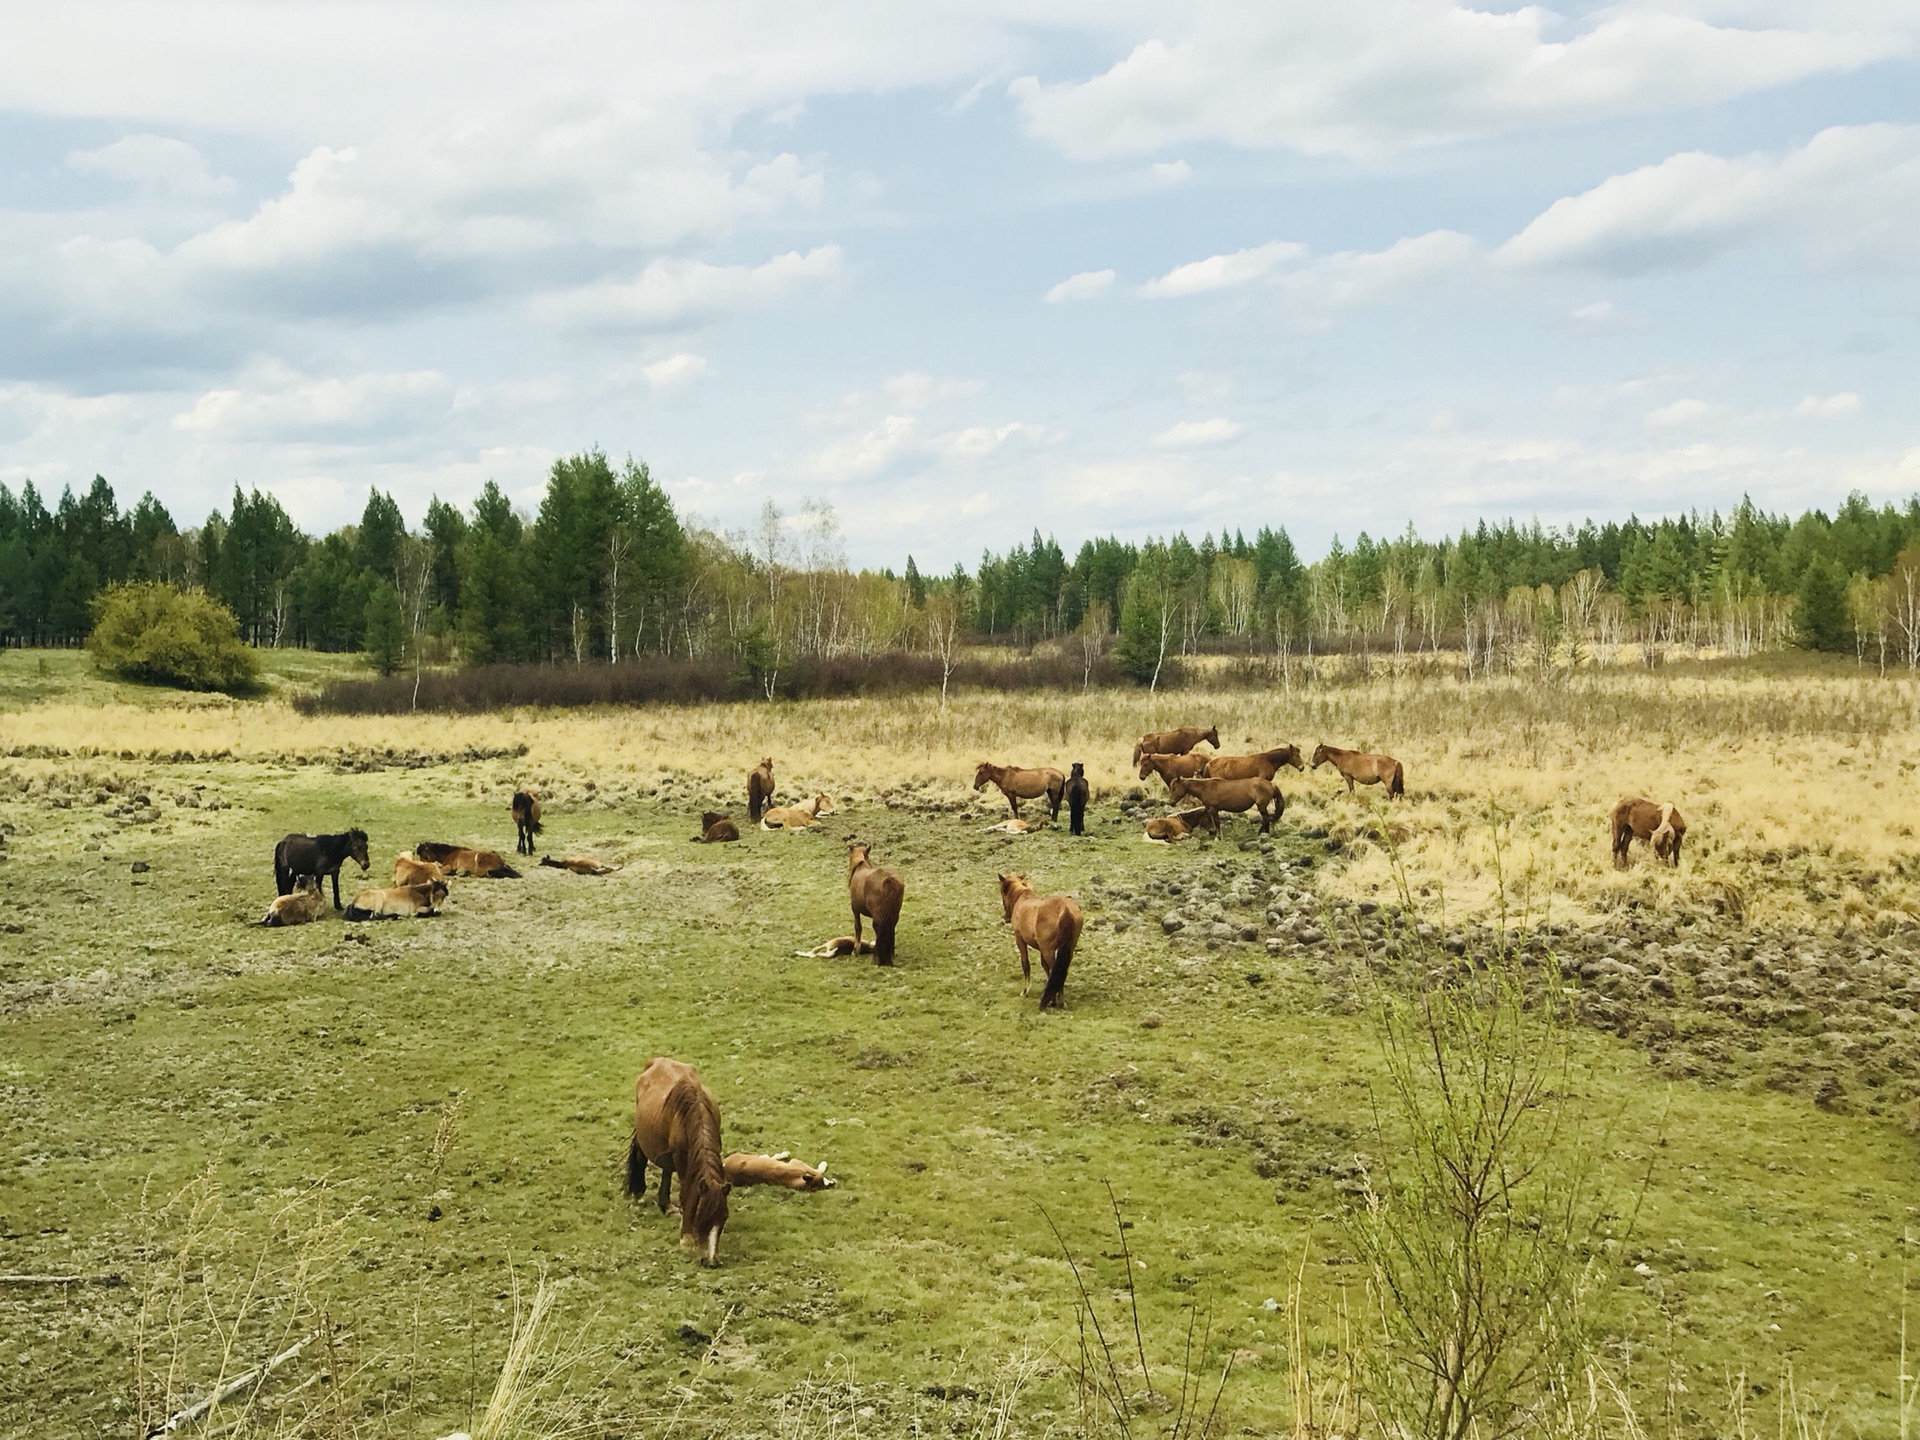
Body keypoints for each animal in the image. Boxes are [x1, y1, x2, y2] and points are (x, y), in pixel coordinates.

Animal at [625, 1052, 729, 1267]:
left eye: (723, 1219)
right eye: (701, 1217)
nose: (710, 1261)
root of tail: (657, 1060)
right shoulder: (682, 1160)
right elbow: (687, 1192)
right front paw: (686, 1236)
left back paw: (665, 1204)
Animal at [998, 875, 1090, 1006]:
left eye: (1002, 891)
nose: (1005, 917)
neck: (1022, 898)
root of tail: (1065, 909)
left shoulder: (1020, 940)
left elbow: (1026, 964)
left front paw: (1025, 991)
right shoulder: (1041, 947)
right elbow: (1045, 966)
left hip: (1049, 950)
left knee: (1056, 970)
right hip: (1068, 948)